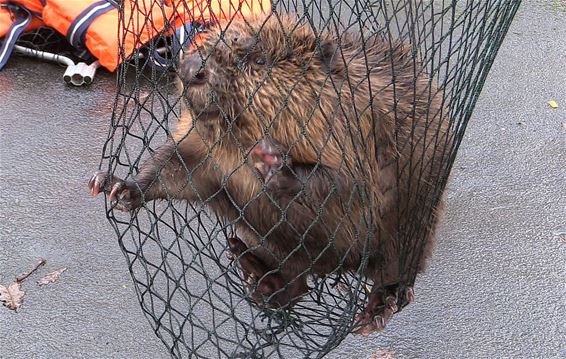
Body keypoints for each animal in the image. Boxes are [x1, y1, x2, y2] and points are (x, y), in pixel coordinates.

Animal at [89, 13, 452, 334]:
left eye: (259, 60)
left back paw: (378, 307)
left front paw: (274, 164)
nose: (192, 68)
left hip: (417, 223)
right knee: (296, 282)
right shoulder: (204, 150)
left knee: (395, 268)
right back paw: (256, 272)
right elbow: (176, 167)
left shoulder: (354, 129)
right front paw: (117, 186)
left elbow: (349, 183)